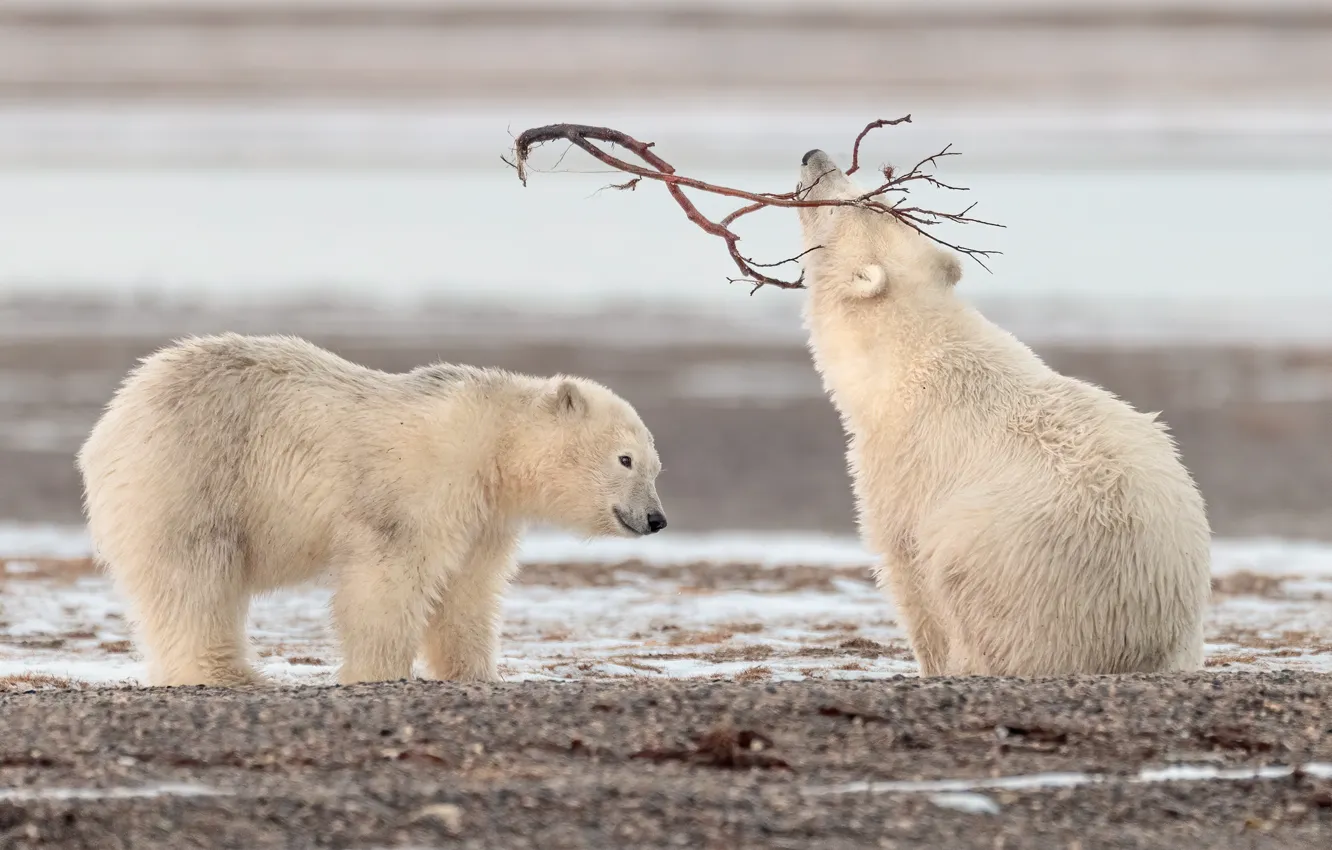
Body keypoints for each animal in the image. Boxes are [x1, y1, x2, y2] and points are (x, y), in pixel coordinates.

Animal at [77, 331, 671, 687]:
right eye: (625, 459)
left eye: (656, 465)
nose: (656, 519)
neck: (492, 441)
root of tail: (112, 421)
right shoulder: (423, 487)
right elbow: (389, 579)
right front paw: (376, 671)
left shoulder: (484, 514)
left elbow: (467, 590)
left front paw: (474, 671)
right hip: (194, 472)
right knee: (195, 578)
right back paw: (227, 673)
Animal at [793, 146, 1214, 679]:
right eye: (874, 195)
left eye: (855, 202)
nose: (813, 156)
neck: (911, 353)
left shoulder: (904, 466)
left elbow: (909, 571)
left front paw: (932, 666)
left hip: (1000, 560)